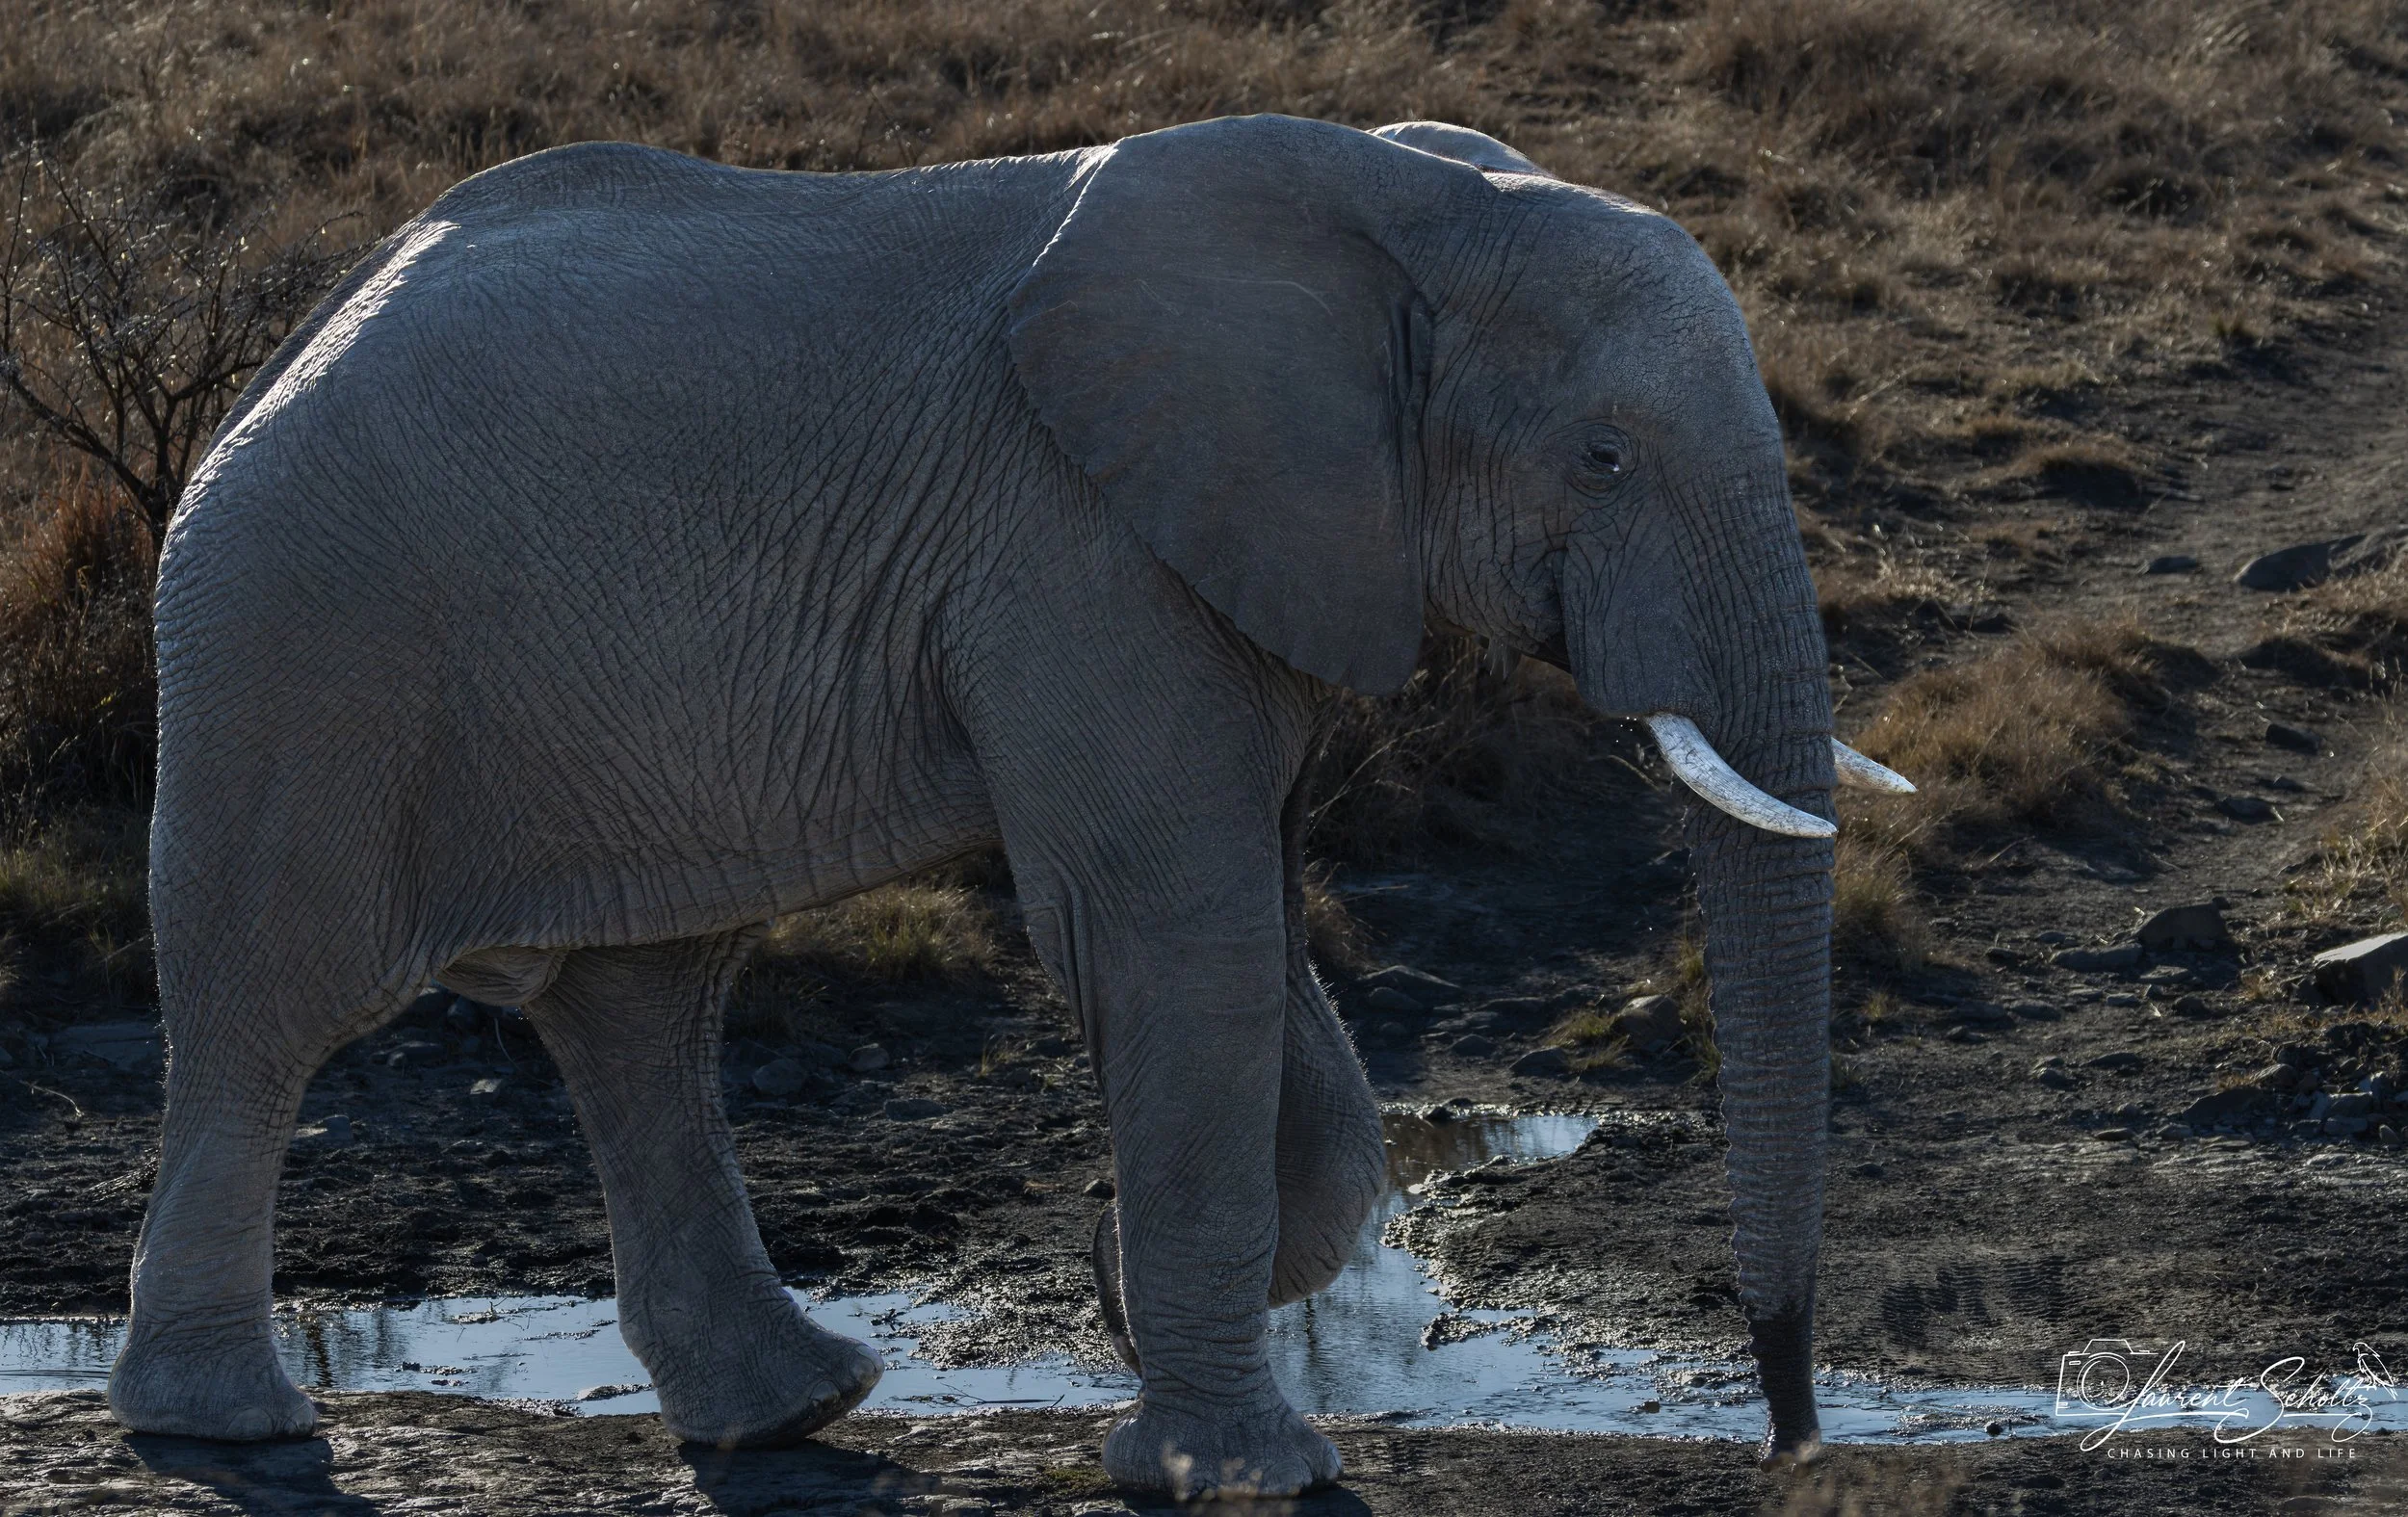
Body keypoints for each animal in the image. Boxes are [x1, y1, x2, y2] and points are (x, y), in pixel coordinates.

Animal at [110, 112, 1910, 1498]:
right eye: (1603, 457)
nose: (1792, 1443)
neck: (1411, 208)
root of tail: (279, 348)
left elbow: (1259, 938)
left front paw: (1130, 1288)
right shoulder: (1081, 548)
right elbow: (1173, 931)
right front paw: (1239, 1471)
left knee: (645, 1008)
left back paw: (798, 1405)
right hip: (306, 646)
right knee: (278, 1000)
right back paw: (232, 1425)